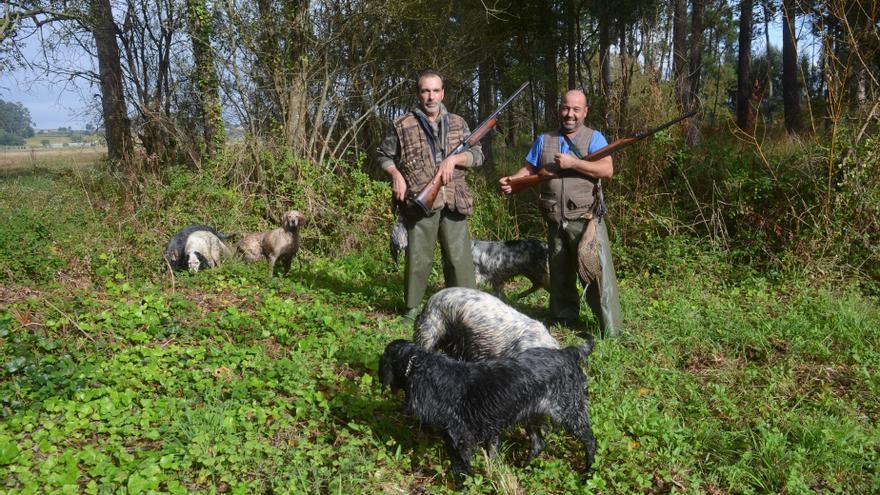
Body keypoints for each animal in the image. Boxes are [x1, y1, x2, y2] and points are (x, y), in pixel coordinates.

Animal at [380, 338, 600, 488]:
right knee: (538, 444)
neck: (424, 366)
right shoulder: (485, 432)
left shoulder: (459, 437)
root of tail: (568, 353)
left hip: (570, 412)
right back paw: (522, 468)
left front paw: (462, 487)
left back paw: (588, 473)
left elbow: (460, 467)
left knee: (590, 441)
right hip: (531, 416)